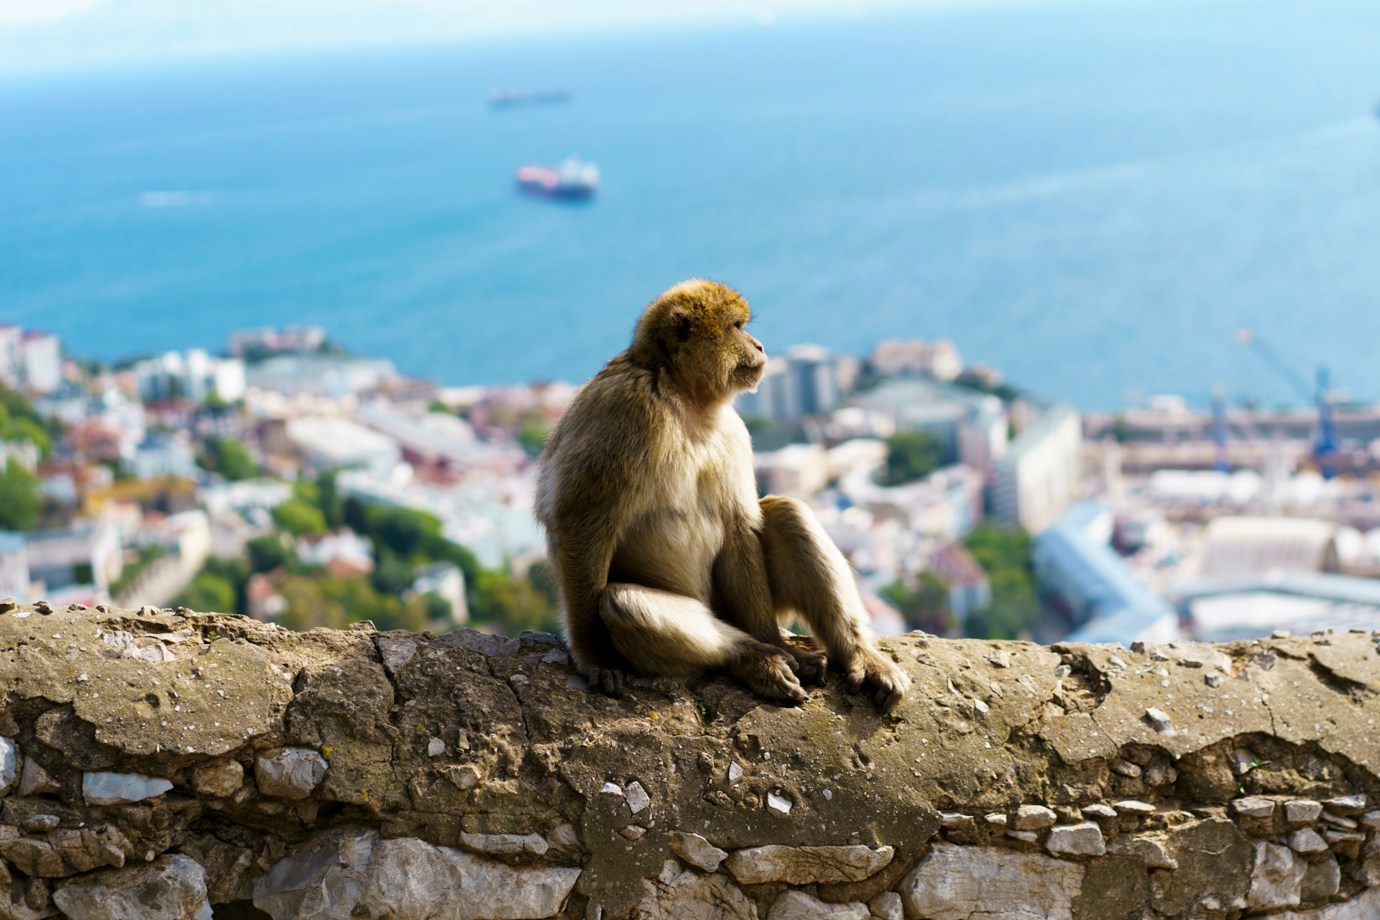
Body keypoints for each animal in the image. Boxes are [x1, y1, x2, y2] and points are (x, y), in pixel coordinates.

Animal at [535, 279, 910, 711]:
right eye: (736, 327)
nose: (760, 345)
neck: (682, 395)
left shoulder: (733, 431)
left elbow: (737, 527)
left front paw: (777, 642)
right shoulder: (625, 410)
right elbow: (580, 522)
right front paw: (594, 655)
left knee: (787, 512)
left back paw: (842, 654)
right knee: (623, 603)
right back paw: (753, 658)